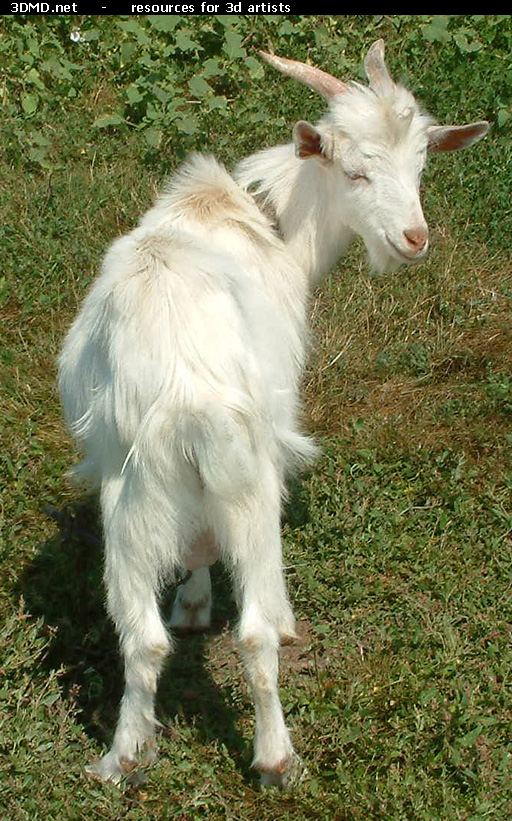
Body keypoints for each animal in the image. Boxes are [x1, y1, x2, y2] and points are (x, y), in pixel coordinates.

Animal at [59, 40, 488, 788]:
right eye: (355, 170)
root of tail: (186, 397)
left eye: (421, 165)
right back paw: (276, 756)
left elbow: (198, 549)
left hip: (129, 497)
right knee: (255, 630)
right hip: (247, 475)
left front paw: (192, 603)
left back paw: (124, 755)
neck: (263, 221)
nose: (413, 238)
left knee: (139, 636)